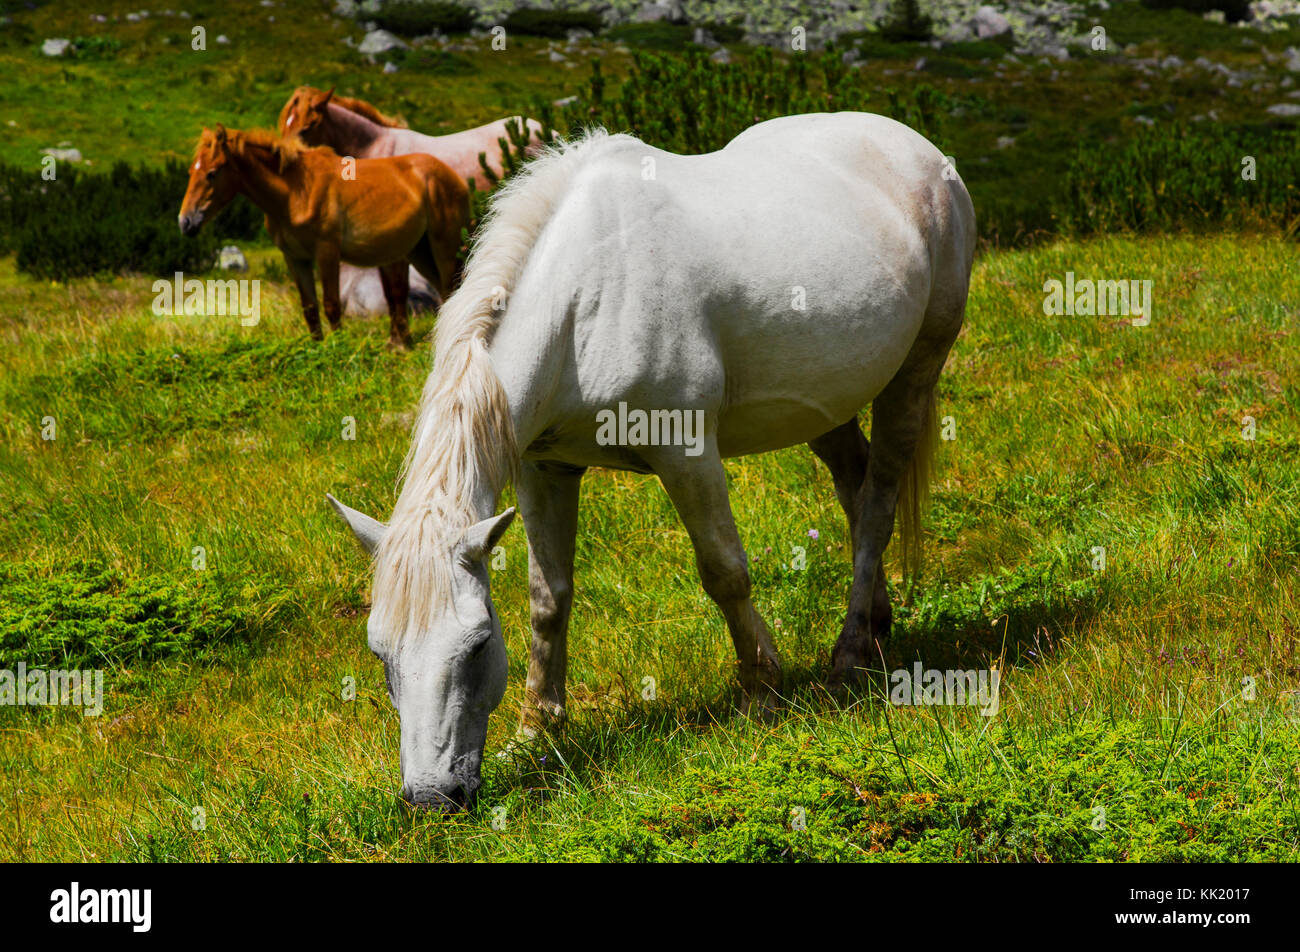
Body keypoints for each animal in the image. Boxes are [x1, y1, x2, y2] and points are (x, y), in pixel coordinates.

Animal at [178, 125, 470, 350]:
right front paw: (317, 347)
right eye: (191, 172)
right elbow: (309, 307)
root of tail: (454, 177)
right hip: (419, 251)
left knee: (450, 287)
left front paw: (338, 346)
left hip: (443, 246)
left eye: (212, 173)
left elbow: (331, 304)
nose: (185, 222)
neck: (295, 192)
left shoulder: (327, 251)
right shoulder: (295, 258)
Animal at [328, 113, 977, 810]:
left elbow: (725, 573)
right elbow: (548, 597)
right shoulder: (543, 469)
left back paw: (851, 654)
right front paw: (536, 730)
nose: (431, 797)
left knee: (878, 502)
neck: (584, 302)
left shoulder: (687, 453)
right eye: (380, 653)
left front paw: (762, 694)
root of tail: (920, 150)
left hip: (915, 373)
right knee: (853, 488)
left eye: (476, 645)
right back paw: (876, 627)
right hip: (827, 404)